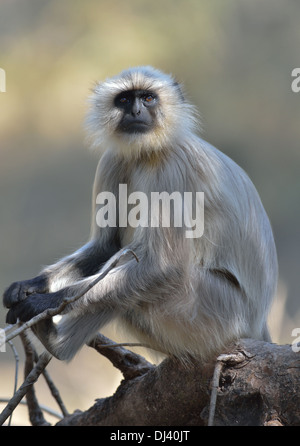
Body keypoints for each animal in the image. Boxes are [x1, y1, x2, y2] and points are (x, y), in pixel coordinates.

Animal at [2, 66, 278, 362]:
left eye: (147, 98)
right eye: (124, 100)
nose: (135, 112)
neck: (147, 153)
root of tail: (256, 325)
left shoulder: (173, 167)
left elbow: (164, 268)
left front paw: (45, 301)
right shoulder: (113, 160)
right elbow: (107, 245)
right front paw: (31, 285)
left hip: (214, 314)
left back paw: (55, 342)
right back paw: (55, 342)